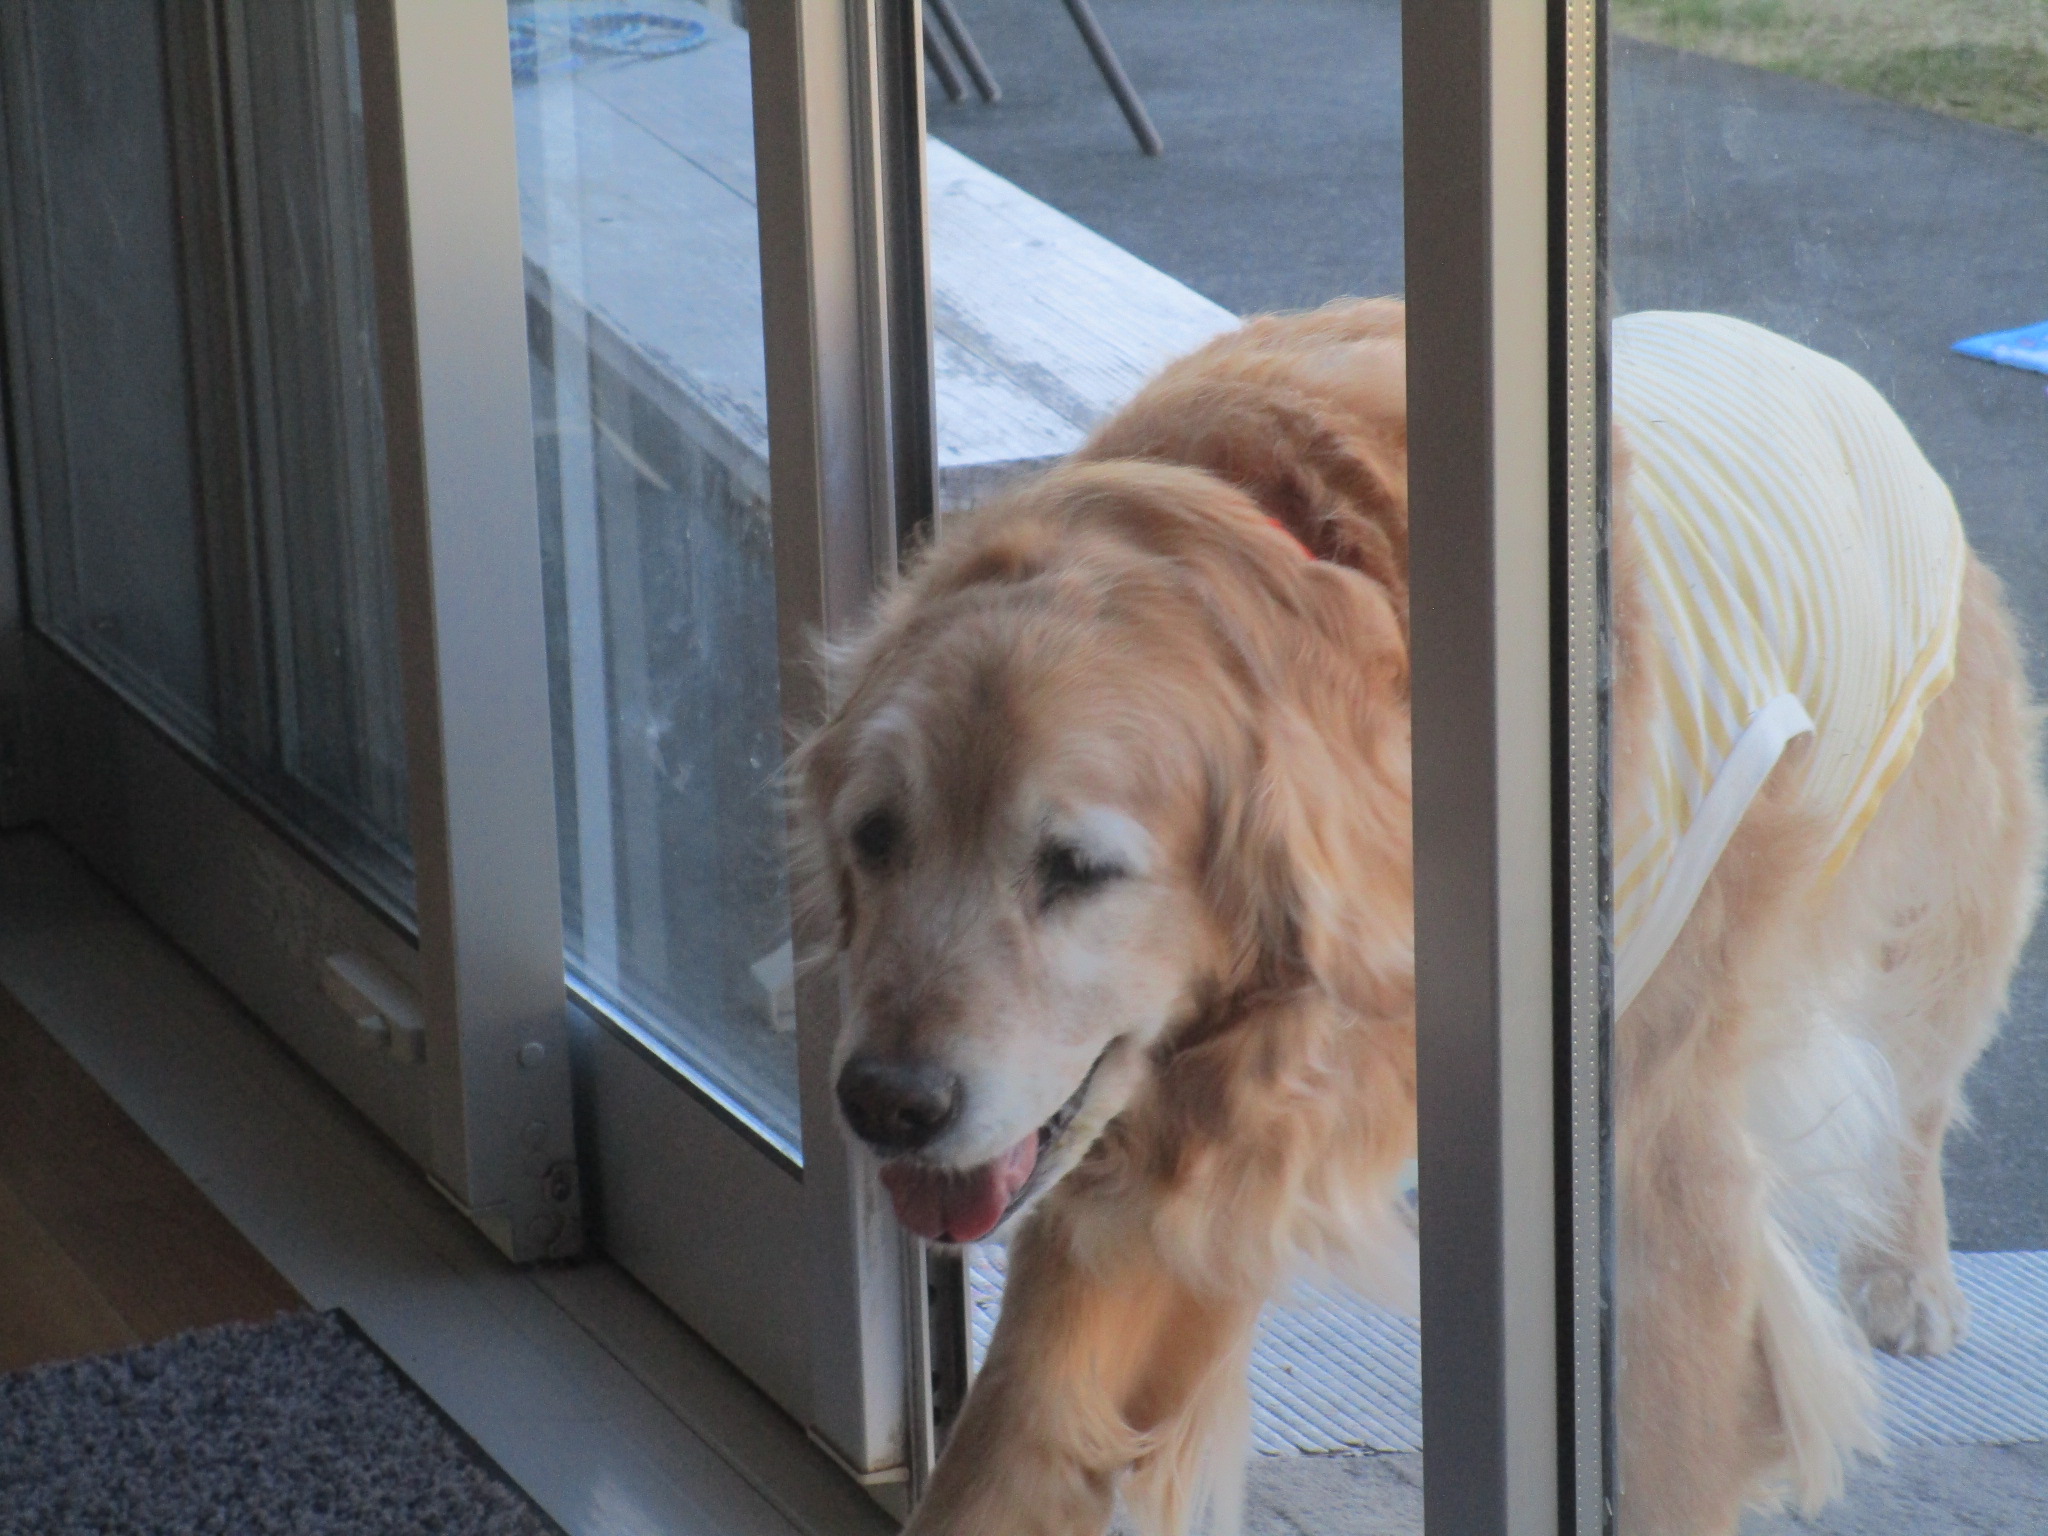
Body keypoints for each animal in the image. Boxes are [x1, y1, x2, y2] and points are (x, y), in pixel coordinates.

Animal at [791, 300, 2045, 1535]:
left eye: (1075, 868)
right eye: (875, 837)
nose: (884, 1104)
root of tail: (1808, 357)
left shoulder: (1653, 1153)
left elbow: (1679, 1432)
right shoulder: (1168, 1182)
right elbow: (1017, 1443)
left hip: (1934, 909)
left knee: (1918, 1095)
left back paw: (1907, 1276)